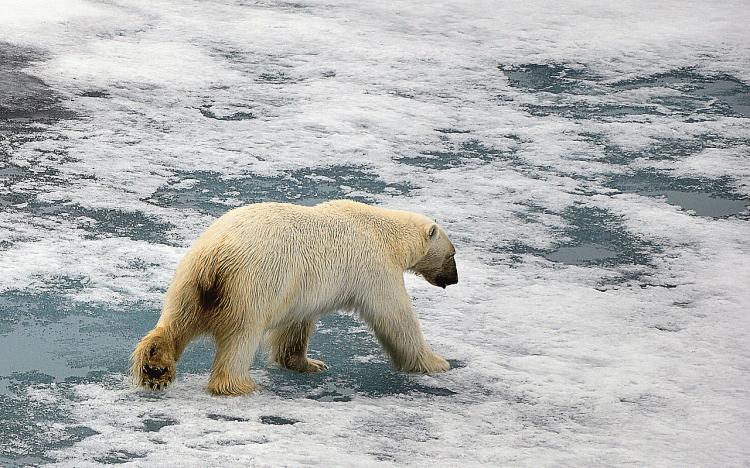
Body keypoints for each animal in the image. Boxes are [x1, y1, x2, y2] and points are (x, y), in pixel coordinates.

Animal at [131, 198, 458, 394]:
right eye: (452, 254)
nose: (454, 279)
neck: (386, 233)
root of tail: (217, 253)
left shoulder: (301, 287)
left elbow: (297, 324)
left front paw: (307, 363)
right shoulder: (375, 269)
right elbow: (395, 317)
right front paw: (437, 362)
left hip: (189, 280)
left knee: (176, 321)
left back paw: (155, 368)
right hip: (252, 284)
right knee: (241, 335)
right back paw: (238, 383)